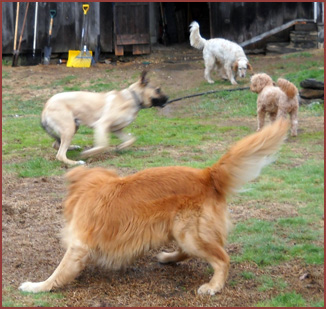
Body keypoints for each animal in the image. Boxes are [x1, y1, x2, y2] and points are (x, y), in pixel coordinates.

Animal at [18, 118, 288, 294]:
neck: (90, 189)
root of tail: (207, 175)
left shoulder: (78, 246)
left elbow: (58, 273)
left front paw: (36, 286)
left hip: (190, 233)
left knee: (222, 259)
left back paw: (213, 286)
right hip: (179, 230)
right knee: (190, 252)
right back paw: (168, 258)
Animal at [40, 71, 168, 165]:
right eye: (158, 90)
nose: (168, 99)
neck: (133, 98)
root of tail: (45, 108)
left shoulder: (116, 129)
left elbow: (131, 139)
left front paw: (121, 146)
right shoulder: (101, 125)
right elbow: (104, 145)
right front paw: (87, 154)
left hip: (73, 126)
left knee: (56, 145)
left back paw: (73, 148)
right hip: (69, 128)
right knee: (60, 155)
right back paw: (76, 162)